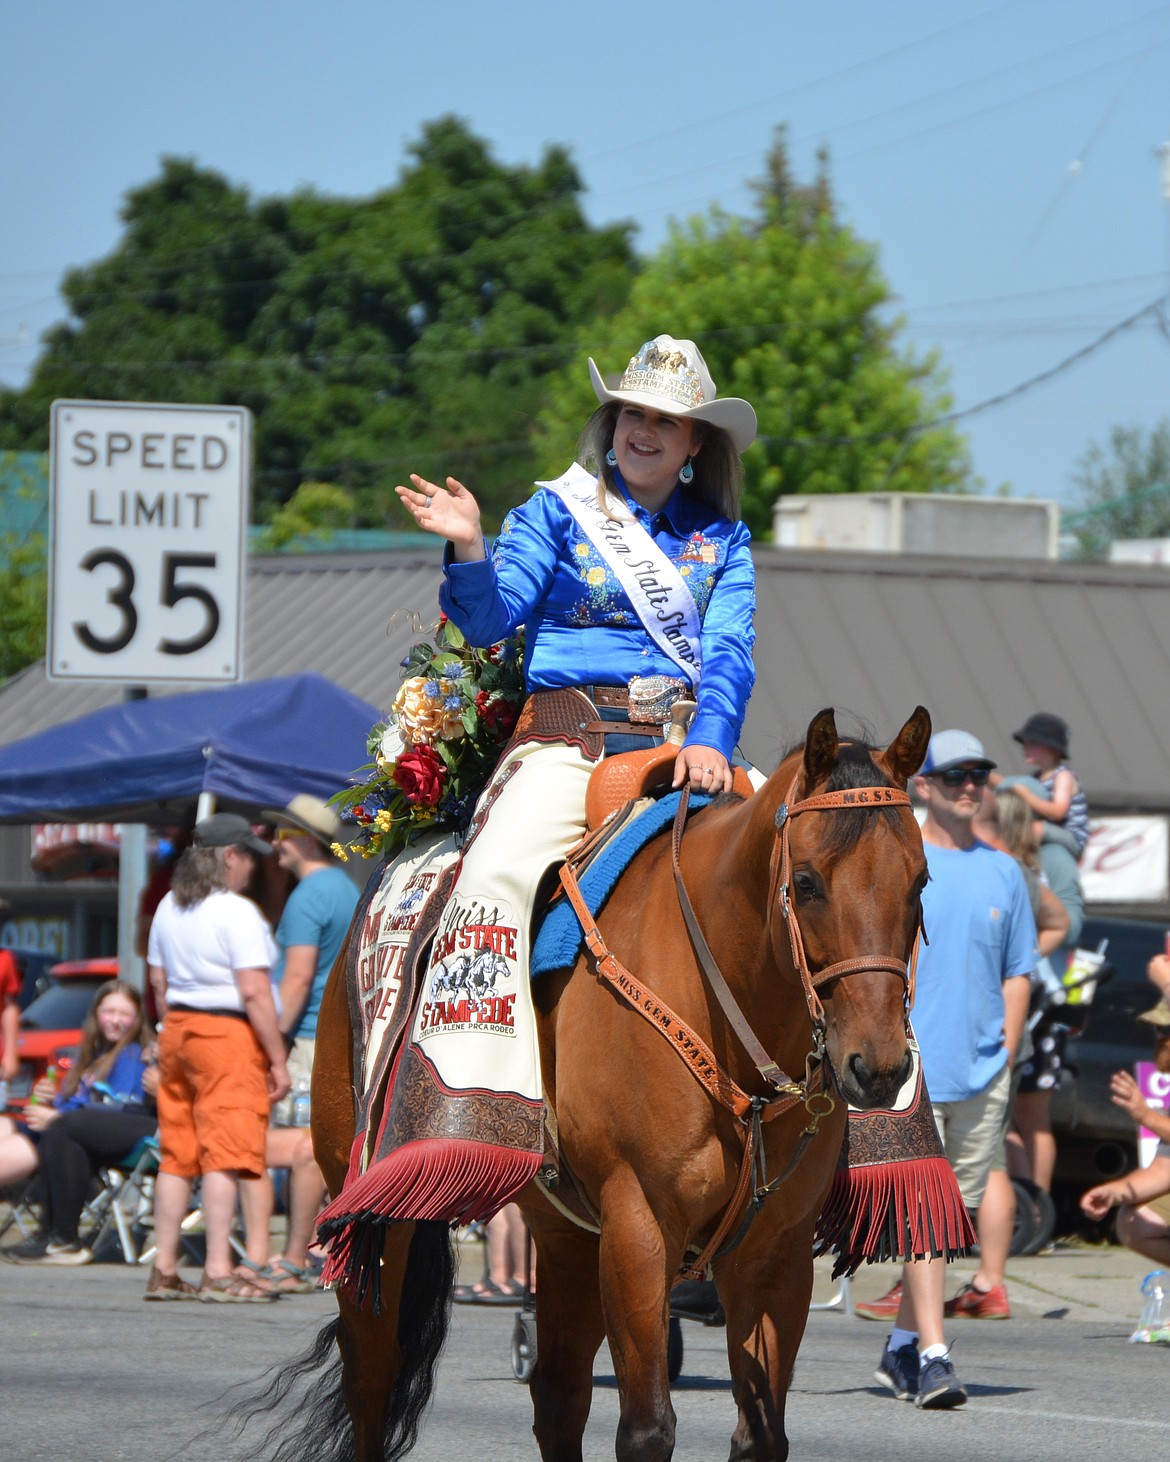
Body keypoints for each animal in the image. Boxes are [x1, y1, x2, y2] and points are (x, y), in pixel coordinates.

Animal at [258, 701, 930, 1456]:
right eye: (807, 882)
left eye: (920, 882)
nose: (878, 1067)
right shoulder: (638, 1227)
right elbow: (646, 1429)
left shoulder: (775, 1255)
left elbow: (760, 1434)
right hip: (379, 1203)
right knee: (372, 1378)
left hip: (565, 1233)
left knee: (557, 1393)